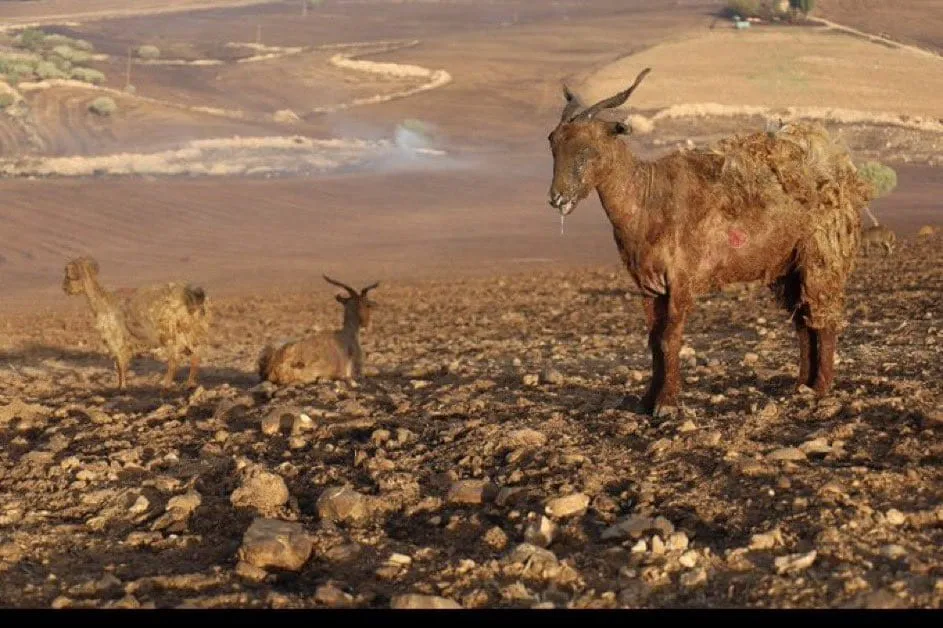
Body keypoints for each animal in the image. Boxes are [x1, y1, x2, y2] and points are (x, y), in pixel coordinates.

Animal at [62, 258, 210, 390]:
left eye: (69, 276)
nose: (64, 288)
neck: (104, 302)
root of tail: (193, 296)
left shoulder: (116, 339)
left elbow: (120, 363)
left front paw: (122, 387)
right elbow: (122, 363)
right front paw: (121, 385)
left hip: (170, 332)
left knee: (175, 359)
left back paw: (166, 385)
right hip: (189, 331)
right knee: (195, 355)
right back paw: (189, 384)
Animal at [548, 68, 872, 414]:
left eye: (588, 149)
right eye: (552, 142)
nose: (557, 198)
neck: (648, 198)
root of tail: (841, 171)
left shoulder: (681, 280)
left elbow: (669, 339)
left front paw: (666, 404)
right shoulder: (649, 285)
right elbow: (653, 341)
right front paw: (647, 400)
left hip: (822, 258)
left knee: (824, 319)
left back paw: (821, 388)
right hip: (789, 267)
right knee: (803, 322)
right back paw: (801, 386)